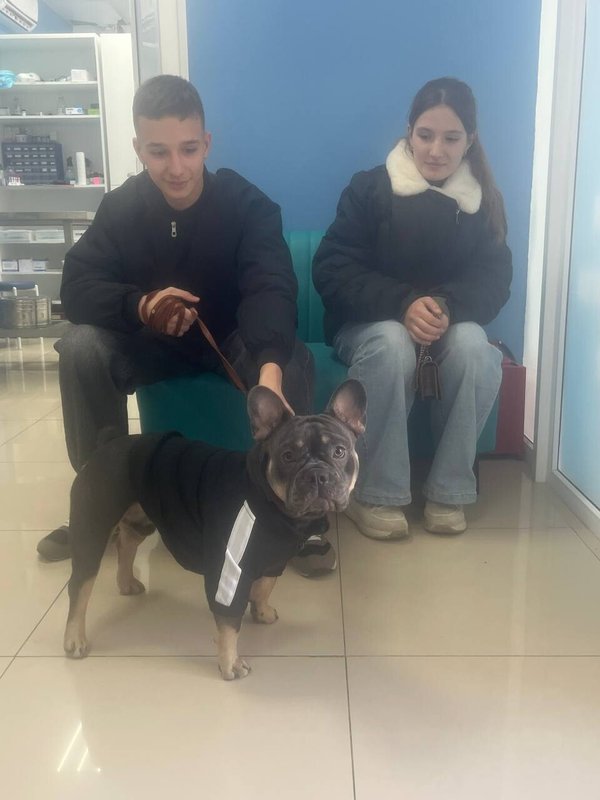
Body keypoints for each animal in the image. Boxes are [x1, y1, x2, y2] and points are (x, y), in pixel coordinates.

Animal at [63, 379, 366, 680]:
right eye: (288, 456)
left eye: (339, 451)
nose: (317, 474)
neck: (274, 505)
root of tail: (107, 445)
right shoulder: (229, 570)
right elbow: (229, 622)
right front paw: (230, 663)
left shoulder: (274, 561)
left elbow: (265, 587)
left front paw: (262, 612)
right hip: (91, 530)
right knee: (80, 586)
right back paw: (74, 639)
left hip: (141, 517)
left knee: (126, 544)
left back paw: (126, 583)